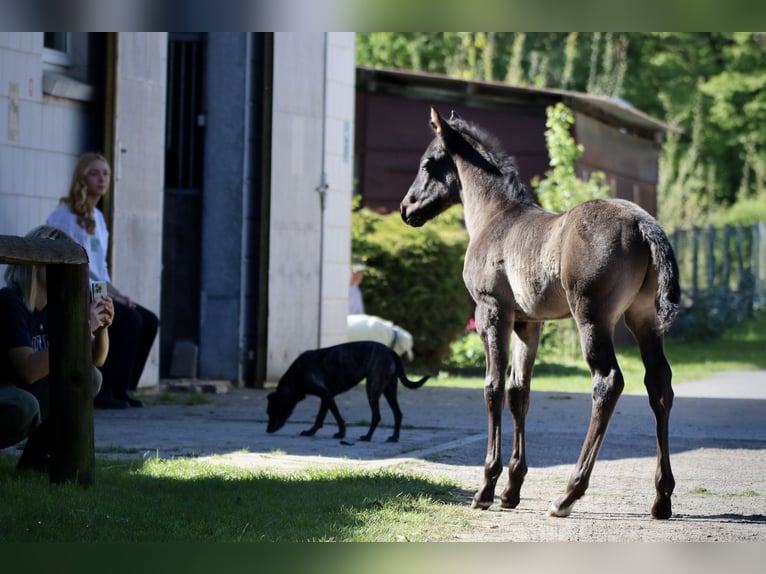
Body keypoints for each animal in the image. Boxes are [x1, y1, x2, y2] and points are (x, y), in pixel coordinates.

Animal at [268, 344, 428, 444]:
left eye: (273, 411)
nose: (268, 430)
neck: (296, 376)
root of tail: (392, 352)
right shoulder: (326, 397)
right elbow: (320, 418)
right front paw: (311, 432)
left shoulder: (326, 395)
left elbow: (337, 417)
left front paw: (341, 434)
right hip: (389, 389)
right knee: (398, 413)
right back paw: (394, 438)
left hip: (372, 389)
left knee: (377, 416)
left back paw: (367, 437)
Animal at [400, 108, 680, 520]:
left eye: (427, 164)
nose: (407, 208)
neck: (496, 217)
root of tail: (642, 222)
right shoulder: (528, 323)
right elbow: (520, 391)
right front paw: (511, 490)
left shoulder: (492, 312)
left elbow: (493, 387)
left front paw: (486, 488)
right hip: (643, 319)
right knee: (658, 383)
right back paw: (661, 498)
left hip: (592, 317)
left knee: (607, 382)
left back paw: (568, 494)